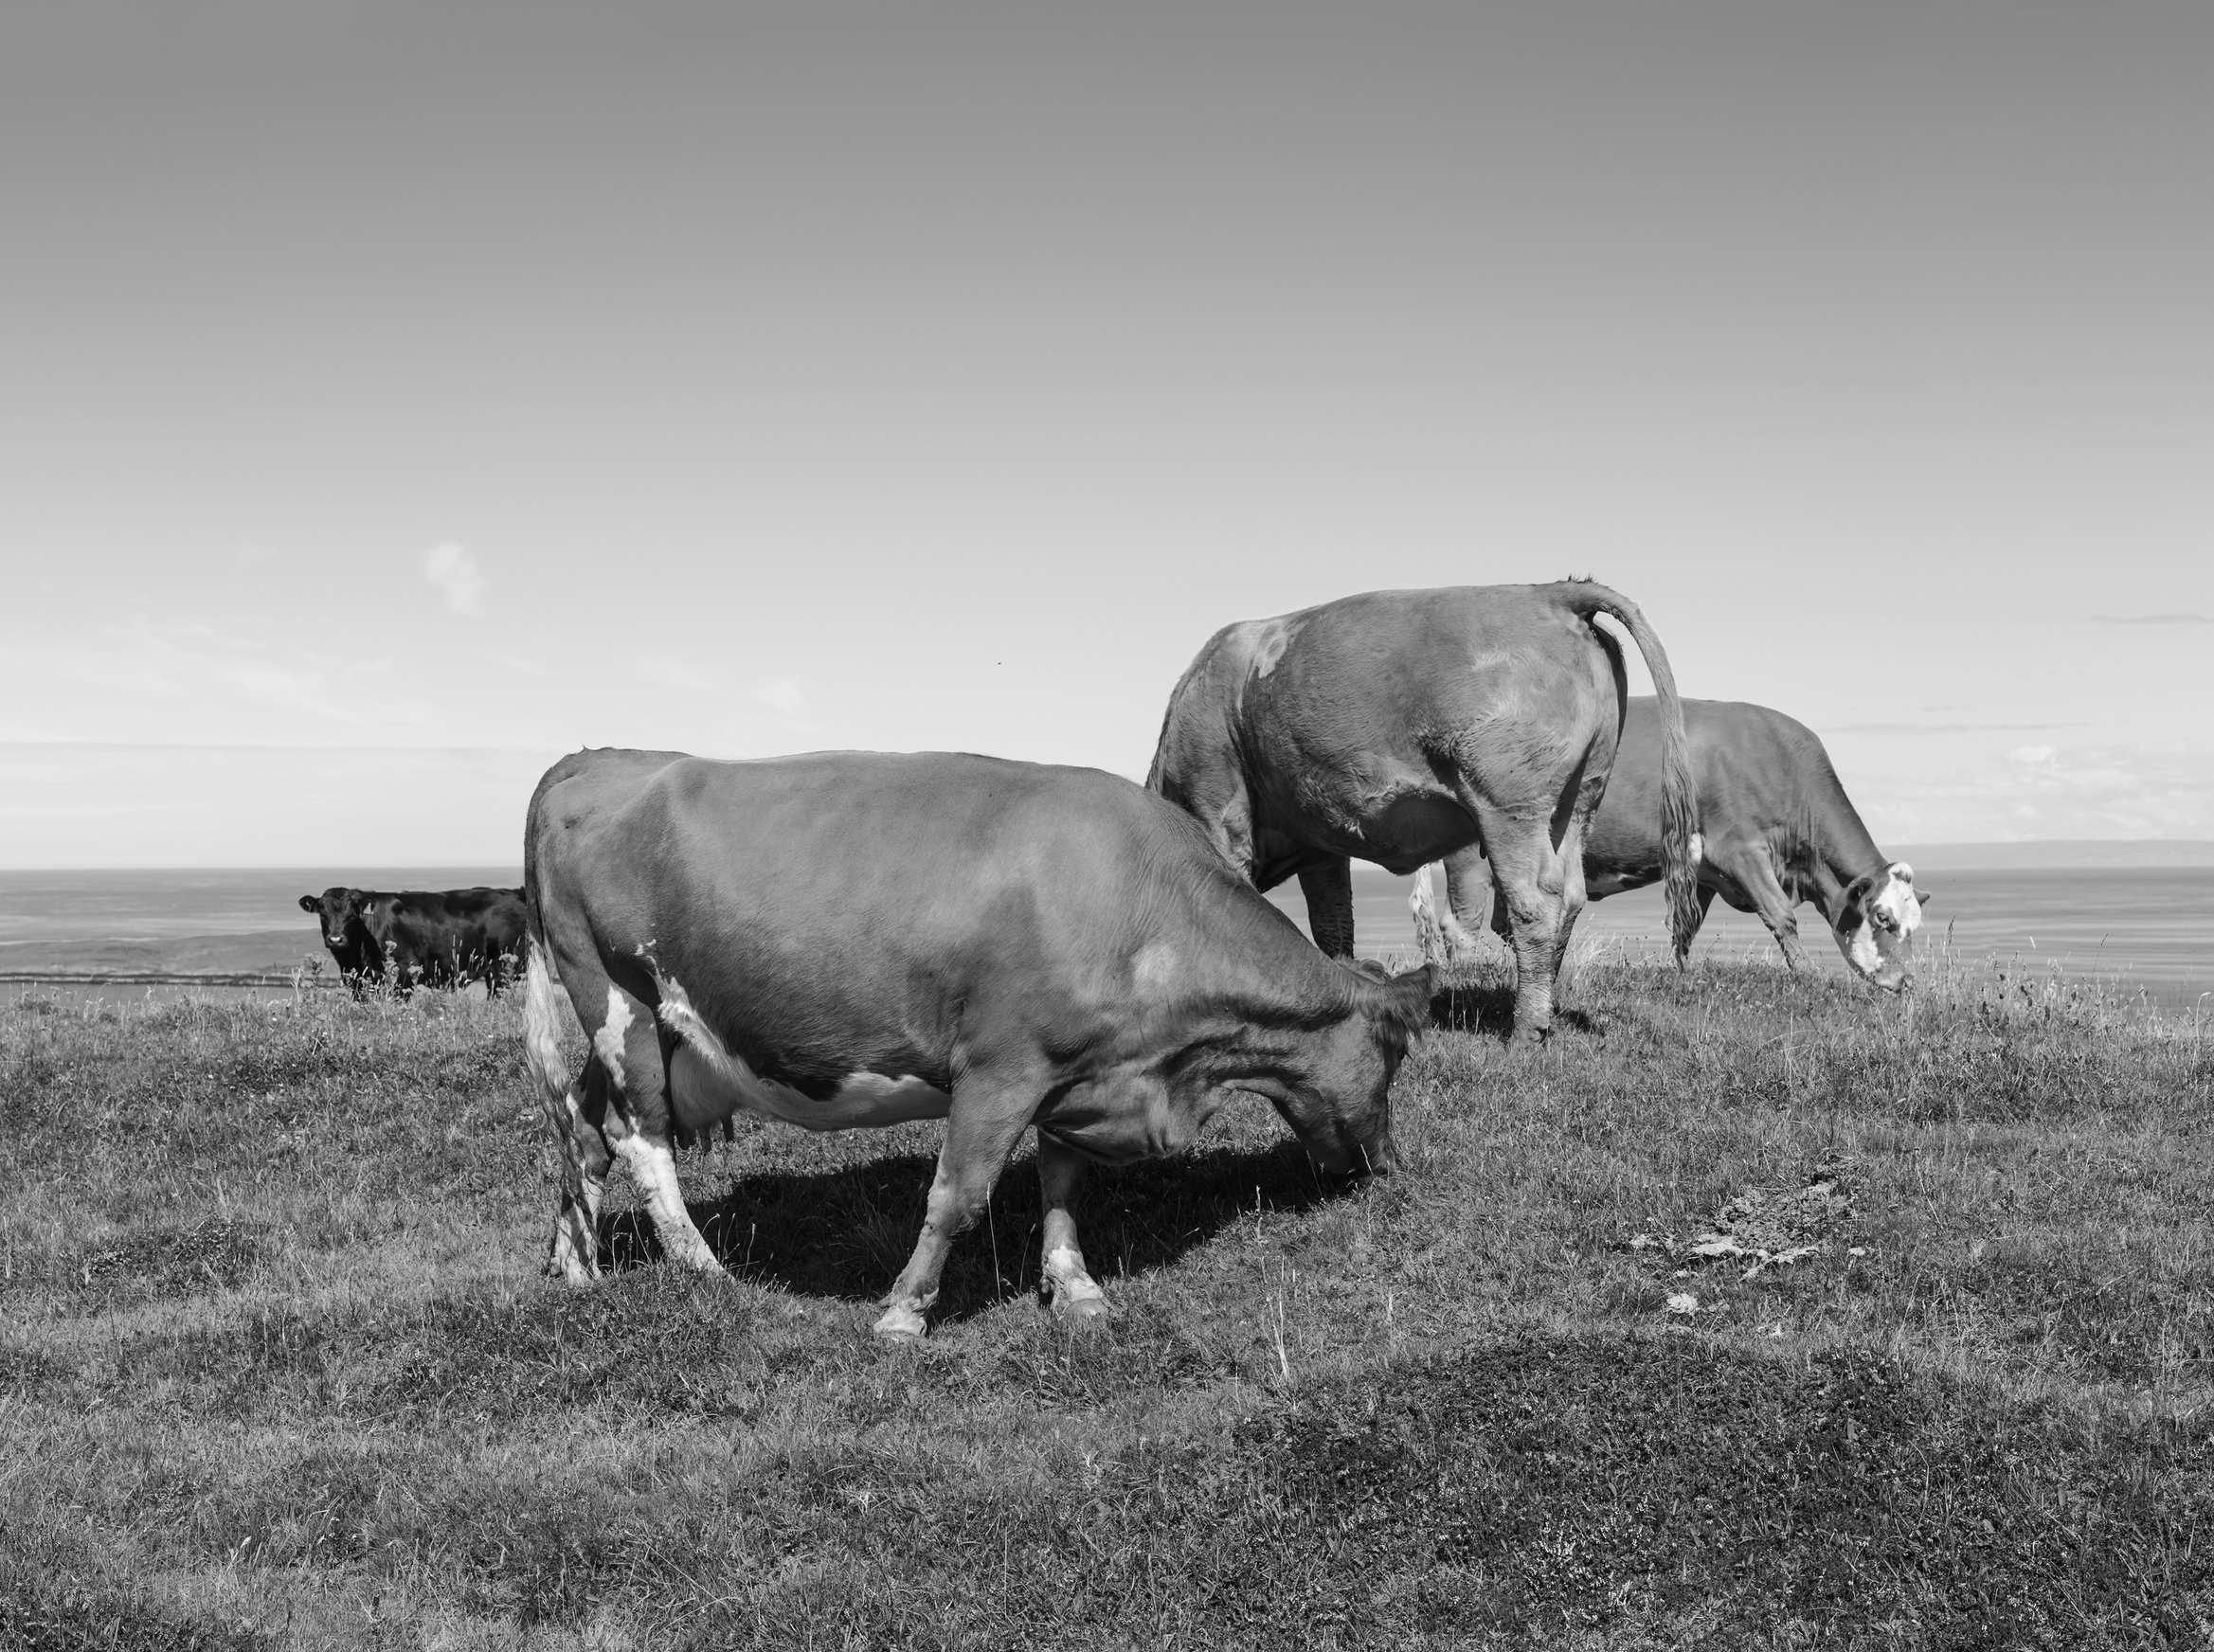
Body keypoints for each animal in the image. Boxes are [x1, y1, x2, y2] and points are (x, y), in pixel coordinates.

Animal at [296, 886, 528, 996]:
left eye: (352, 915)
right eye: (322, 914)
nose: (336, 940)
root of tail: (515, 893)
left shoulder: (404, 972)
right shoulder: (357, 978)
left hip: (504, 966)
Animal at [521, 747, 1433, 1340]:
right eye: (1395, 1056)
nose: (1386, 1165)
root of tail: (594, 757)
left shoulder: (1074, 1071)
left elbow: (1063, 1183)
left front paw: (1075, 1290)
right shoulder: (1000, 1069)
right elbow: (957, 1197)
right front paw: (902, 1313)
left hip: (649, 1037)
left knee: (583, 1125)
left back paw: (577, 1265)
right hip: (618, 999)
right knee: (638, 1138)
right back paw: (706, 1272)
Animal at [1147, 581, 1699, 1044]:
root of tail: (1549, 592)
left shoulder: (1217, 806)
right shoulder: (1320, 841)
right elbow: (1333, 924)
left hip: (1508, 805)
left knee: (1536, 902)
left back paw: (1525, 1032)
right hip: (1579, 799)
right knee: (1571, 894)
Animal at [1411, 697, 1929, 988]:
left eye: (1914, 925)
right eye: (1882, 918)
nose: (1906, 981)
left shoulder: (1703, 868)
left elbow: (1686, 928)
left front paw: (1680, 976)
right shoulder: (1741, 849)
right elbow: (1782, 916)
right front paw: (1807, 976)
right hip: (1471, 854)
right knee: (1459, 928)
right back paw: (1464, 980)